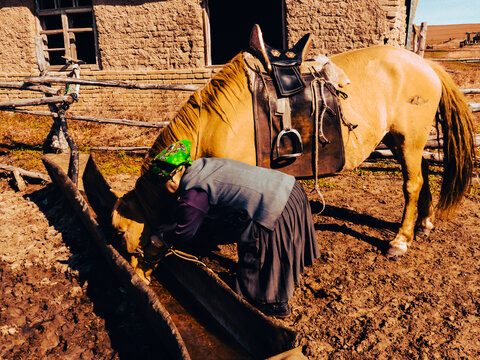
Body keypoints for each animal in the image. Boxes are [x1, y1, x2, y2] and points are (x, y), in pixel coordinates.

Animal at [112, 44, 476, 282]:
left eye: (124, 233)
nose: (138, 278)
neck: (214, 125)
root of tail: (424, 63)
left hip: (409, 139)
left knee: (412, 184)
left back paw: (400, 240)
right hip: (402, 142)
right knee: (423, 175)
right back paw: (424, 223)